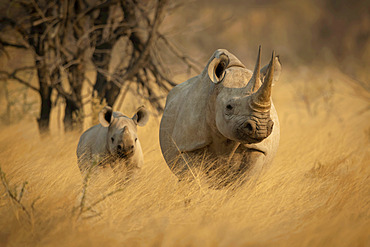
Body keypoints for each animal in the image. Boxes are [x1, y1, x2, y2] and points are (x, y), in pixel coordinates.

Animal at [158, 46, 282, 187]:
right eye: (229, 107)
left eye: (269, 107)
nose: (260, 128)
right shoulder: (188, 146)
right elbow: (194, 180)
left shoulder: (258, 149)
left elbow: (245, 183)